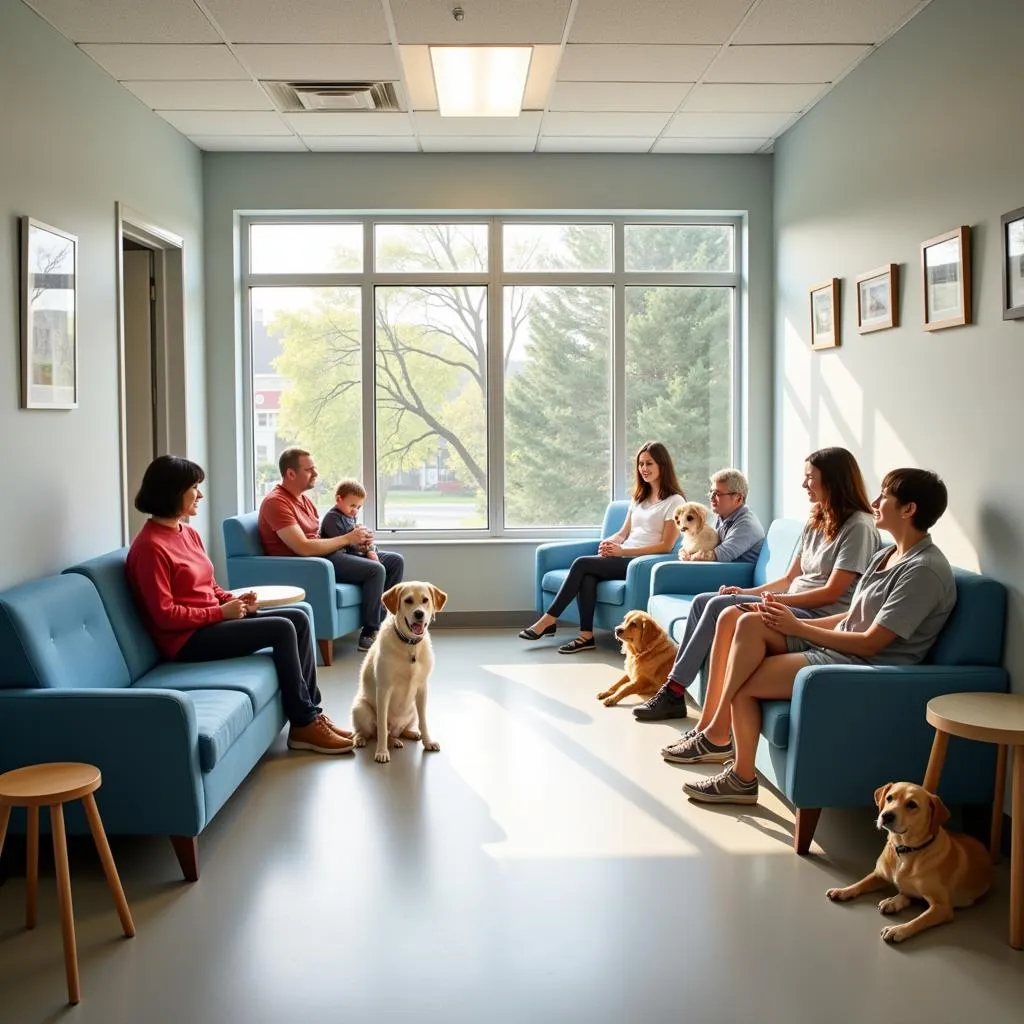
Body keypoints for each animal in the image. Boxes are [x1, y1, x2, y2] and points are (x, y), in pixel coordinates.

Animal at [354, 581, 446, 765]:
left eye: (425, 600)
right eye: (408, 600)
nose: (419, 613)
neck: (410, 645)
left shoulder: (422, 689)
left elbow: (424, 722)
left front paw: (428, 741)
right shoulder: (384, 690)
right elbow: (382, 727)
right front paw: (382, 752)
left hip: (412, 710)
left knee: (399, 731)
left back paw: (408, 735)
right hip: (361, 709)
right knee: (371, 732)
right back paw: (363, 739)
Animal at [823, 782, 991, 942]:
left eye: (912, 804)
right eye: (889, 798)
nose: (886, 815)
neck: (905, 850)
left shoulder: (942, 907)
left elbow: (919, 920)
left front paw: (898, 930)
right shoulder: (879, 874)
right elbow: (860, 883)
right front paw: (843, 891)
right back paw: (893, 901)